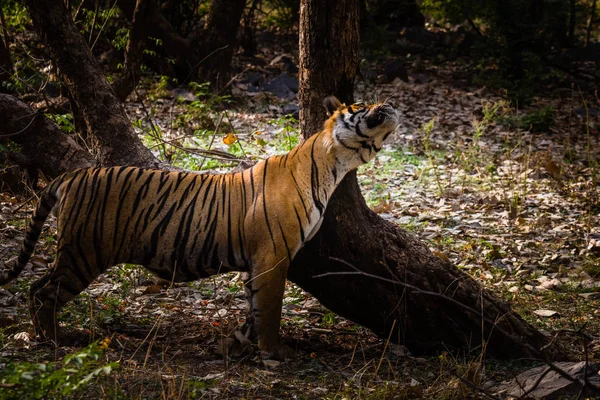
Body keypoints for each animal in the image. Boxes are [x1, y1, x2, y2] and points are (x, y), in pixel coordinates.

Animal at [2, 95, 400, 358]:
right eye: (363, 103)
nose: (392, 103)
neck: (333, 163)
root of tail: (73, 175)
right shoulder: (273, 256)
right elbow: (270, 308)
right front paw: (274, 352)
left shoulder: (257, 260)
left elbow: (254, 306)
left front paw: (239, 343)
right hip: (84, 252)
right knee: (43, 293)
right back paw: (54, 340)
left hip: (76, 252)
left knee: (36, 288)